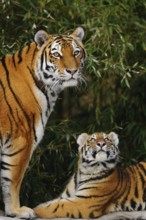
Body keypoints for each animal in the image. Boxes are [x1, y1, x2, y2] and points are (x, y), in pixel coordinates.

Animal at [0, 27, 85, 218]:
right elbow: (12, 179)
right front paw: (16, 210)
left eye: (76, 52)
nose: (72, 71)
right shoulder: (21, 141)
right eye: (57, 54)